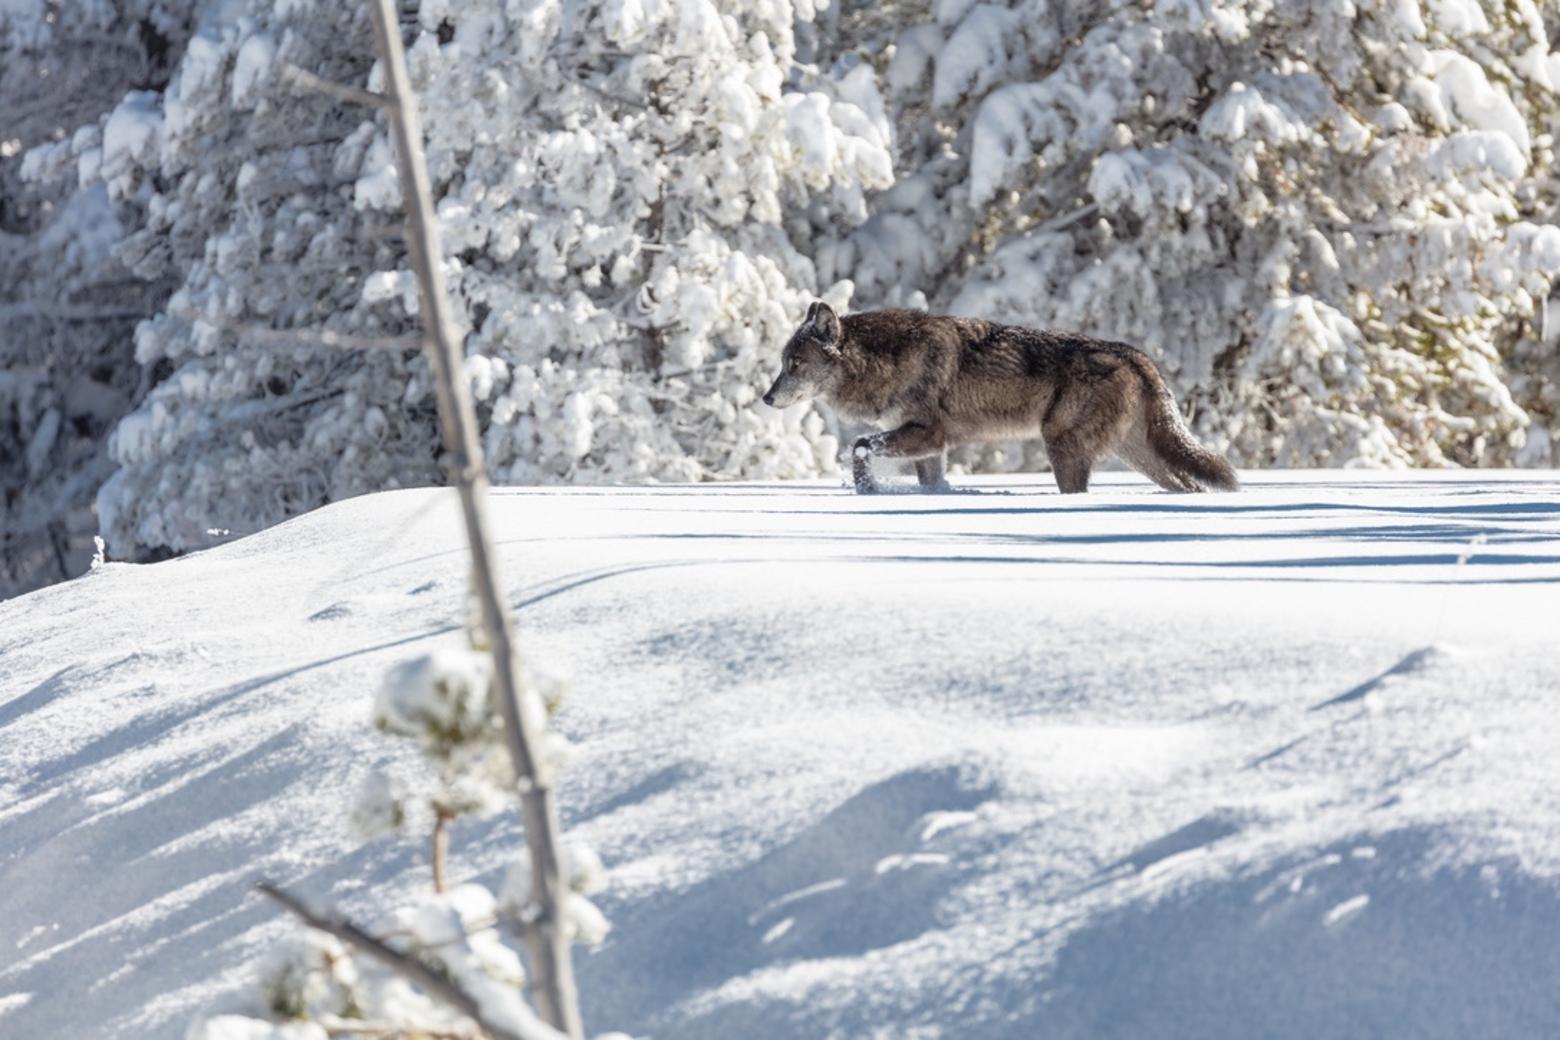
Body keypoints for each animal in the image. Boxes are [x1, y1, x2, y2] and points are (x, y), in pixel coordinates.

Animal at [761, 300, 1235, 495]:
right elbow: (929, 481)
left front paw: (868, 490)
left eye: (795, 364)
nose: (766, 399)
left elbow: (858, 447)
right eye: (783, 363)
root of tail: (1136, 355)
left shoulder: (927, 434)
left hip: (1062, 446)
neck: (886, 360)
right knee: (1189, 484)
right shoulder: (930, 448)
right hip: (1138, 456)